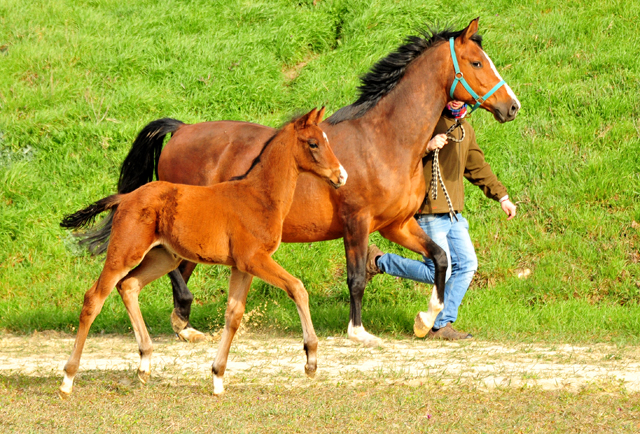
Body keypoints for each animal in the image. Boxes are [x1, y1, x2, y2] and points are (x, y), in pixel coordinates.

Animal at [60, 107, 348, 396]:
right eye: (313, 143)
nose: (341, 176)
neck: (259, 196)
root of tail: (126, 197)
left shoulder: (242, 266)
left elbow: (234, 315)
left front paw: (218, 377)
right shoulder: (254, 259)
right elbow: (297, 288)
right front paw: (311, 361)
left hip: (162, 257)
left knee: (128, 286)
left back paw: (144, 365)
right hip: (125, 253)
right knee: (94, 298)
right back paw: (68, 379)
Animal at [76, 17, 520, 346]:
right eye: (477, 63)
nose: (511, 107)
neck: (385, 140)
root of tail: (181, 131)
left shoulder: (397, 224)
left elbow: (440, 259)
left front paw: (427, 318)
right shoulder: (357, 222)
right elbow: (357, 278)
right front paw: (359, 332)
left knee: (176, 271)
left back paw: (186, 325)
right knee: (169, 272)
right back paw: (185, 318)